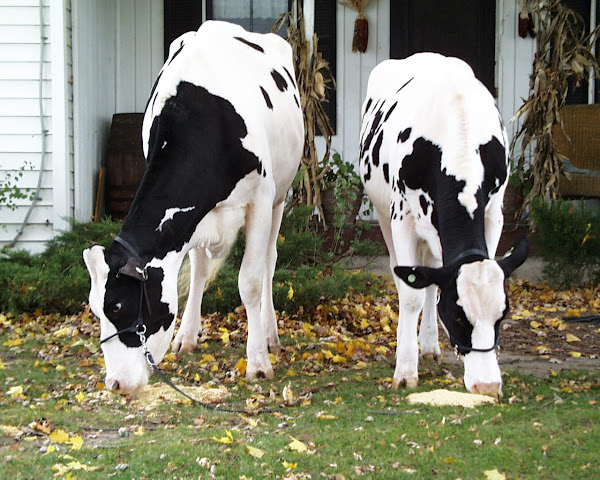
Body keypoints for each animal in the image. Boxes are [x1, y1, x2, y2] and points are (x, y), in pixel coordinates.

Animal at [82, 20, 302, 394]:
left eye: (119, 306)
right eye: (96, 310)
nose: (115, 384)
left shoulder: (260, 199)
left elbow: (250, 281)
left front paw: (258, 362)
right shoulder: (189, 220)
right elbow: (197, 271)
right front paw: (186, 335)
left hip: (280, 195)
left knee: (269, 262)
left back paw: (270, 335)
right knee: (201, 267)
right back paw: (188, 335)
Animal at [358, 52, 528, 400]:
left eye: (502, 316)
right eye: (459, 317)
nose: (487, 386)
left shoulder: (494, 213)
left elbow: (434, 283)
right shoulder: (402, 217)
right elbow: (410, 295)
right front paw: (405, 372)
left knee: (432, 276)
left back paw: (428, 346)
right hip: (383, 213)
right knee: (404, 276)